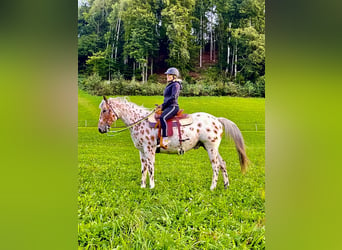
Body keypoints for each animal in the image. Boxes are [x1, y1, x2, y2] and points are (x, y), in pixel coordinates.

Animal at [97, 95, 247, 189]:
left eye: (104, 110)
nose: (100, 129)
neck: (140, 121)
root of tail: (217, 120)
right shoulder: (142, 151)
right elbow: (143, 168)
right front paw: (142, 186)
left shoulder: (149, 149)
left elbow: (151, 167)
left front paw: (151, 187)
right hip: (211, 148)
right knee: (222, 164)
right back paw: (226, 186)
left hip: (211, 147)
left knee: (215, 166)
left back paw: (212, 187)